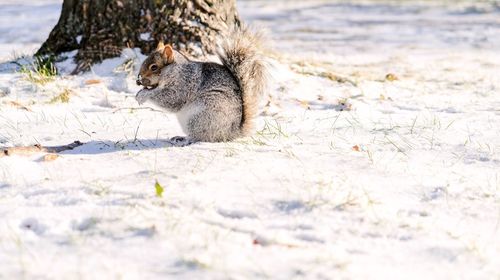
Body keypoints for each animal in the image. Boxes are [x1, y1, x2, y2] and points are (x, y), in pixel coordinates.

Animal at [136, 26, 270, 143]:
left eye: (154, 67)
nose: (139, 78)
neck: (175, 71)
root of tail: (232, 132)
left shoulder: (184, 85)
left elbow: (170, 99)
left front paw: (143, 95)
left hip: (202, 116)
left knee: (202, 137)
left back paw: (185, 139)